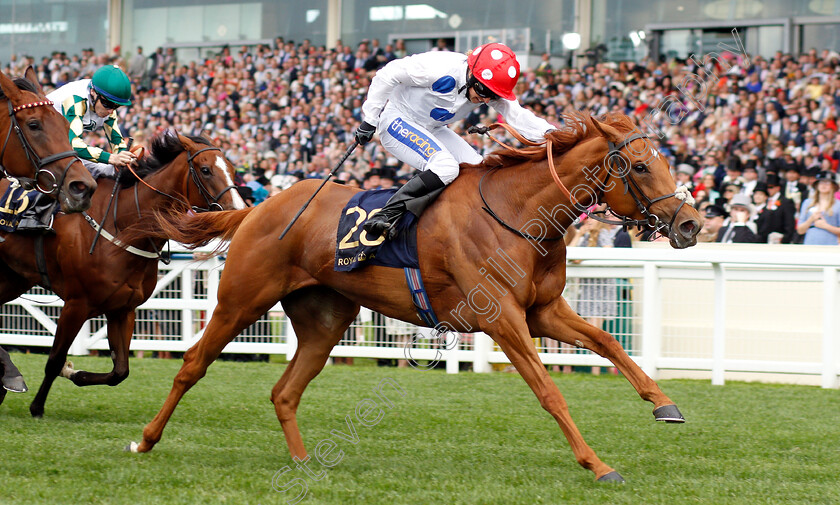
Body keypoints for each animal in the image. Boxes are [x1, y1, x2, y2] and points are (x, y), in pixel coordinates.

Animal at [0, 132, 246, 416]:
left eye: (232, 169)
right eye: (205, 170)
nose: (239, 210)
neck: (123, 226)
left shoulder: (123, 309)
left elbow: (120, 372)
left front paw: (73, 372)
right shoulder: (76, 304)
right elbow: (54, 360)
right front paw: (38, 406)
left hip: (14, 278)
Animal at [130, 113, 704, 480]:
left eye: (665, 161)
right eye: (640, 167)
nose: (692, 224)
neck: (517, 212)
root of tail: (258, 208)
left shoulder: (543, 311)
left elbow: (609, 343)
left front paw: (665, 404)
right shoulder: (503, 318)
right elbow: (549, 391)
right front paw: (598, 465)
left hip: (324, 320)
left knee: (285, 391)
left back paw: (303, 462)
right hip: (240, 300)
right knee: (192, 365)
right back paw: (145, 439)